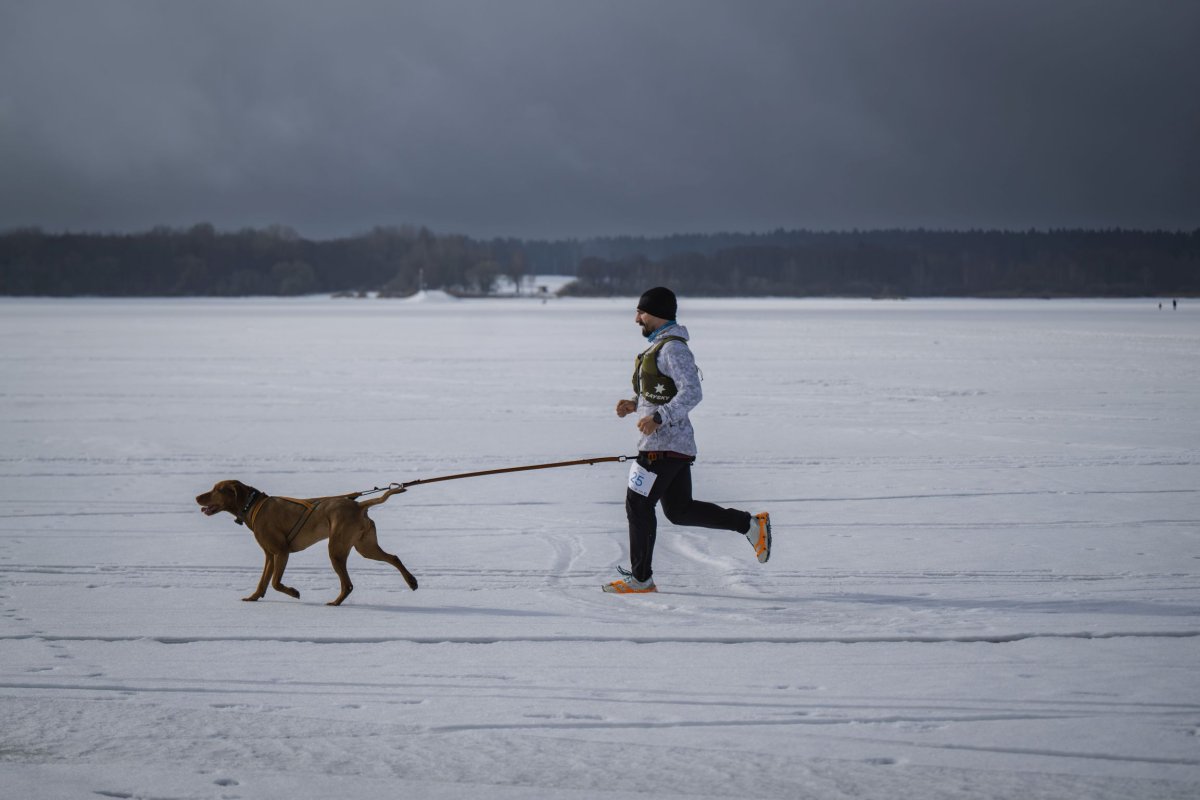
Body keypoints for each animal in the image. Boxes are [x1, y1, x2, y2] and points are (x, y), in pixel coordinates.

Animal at [195, 479, 417, 606]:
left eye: (217, 489)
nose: (197, 497)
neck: (253, 505)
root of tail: (359, 505)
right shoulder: (270, 555)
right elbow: (263, 582)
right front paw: (253, 597)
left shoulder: (281, 552)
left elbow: (275, 583)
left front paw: (293, 592)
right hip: (366, 547)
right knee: (394, 558)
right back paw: (411, 581)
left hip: (336, 550)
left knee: (348, 584)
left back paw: (335, 602)